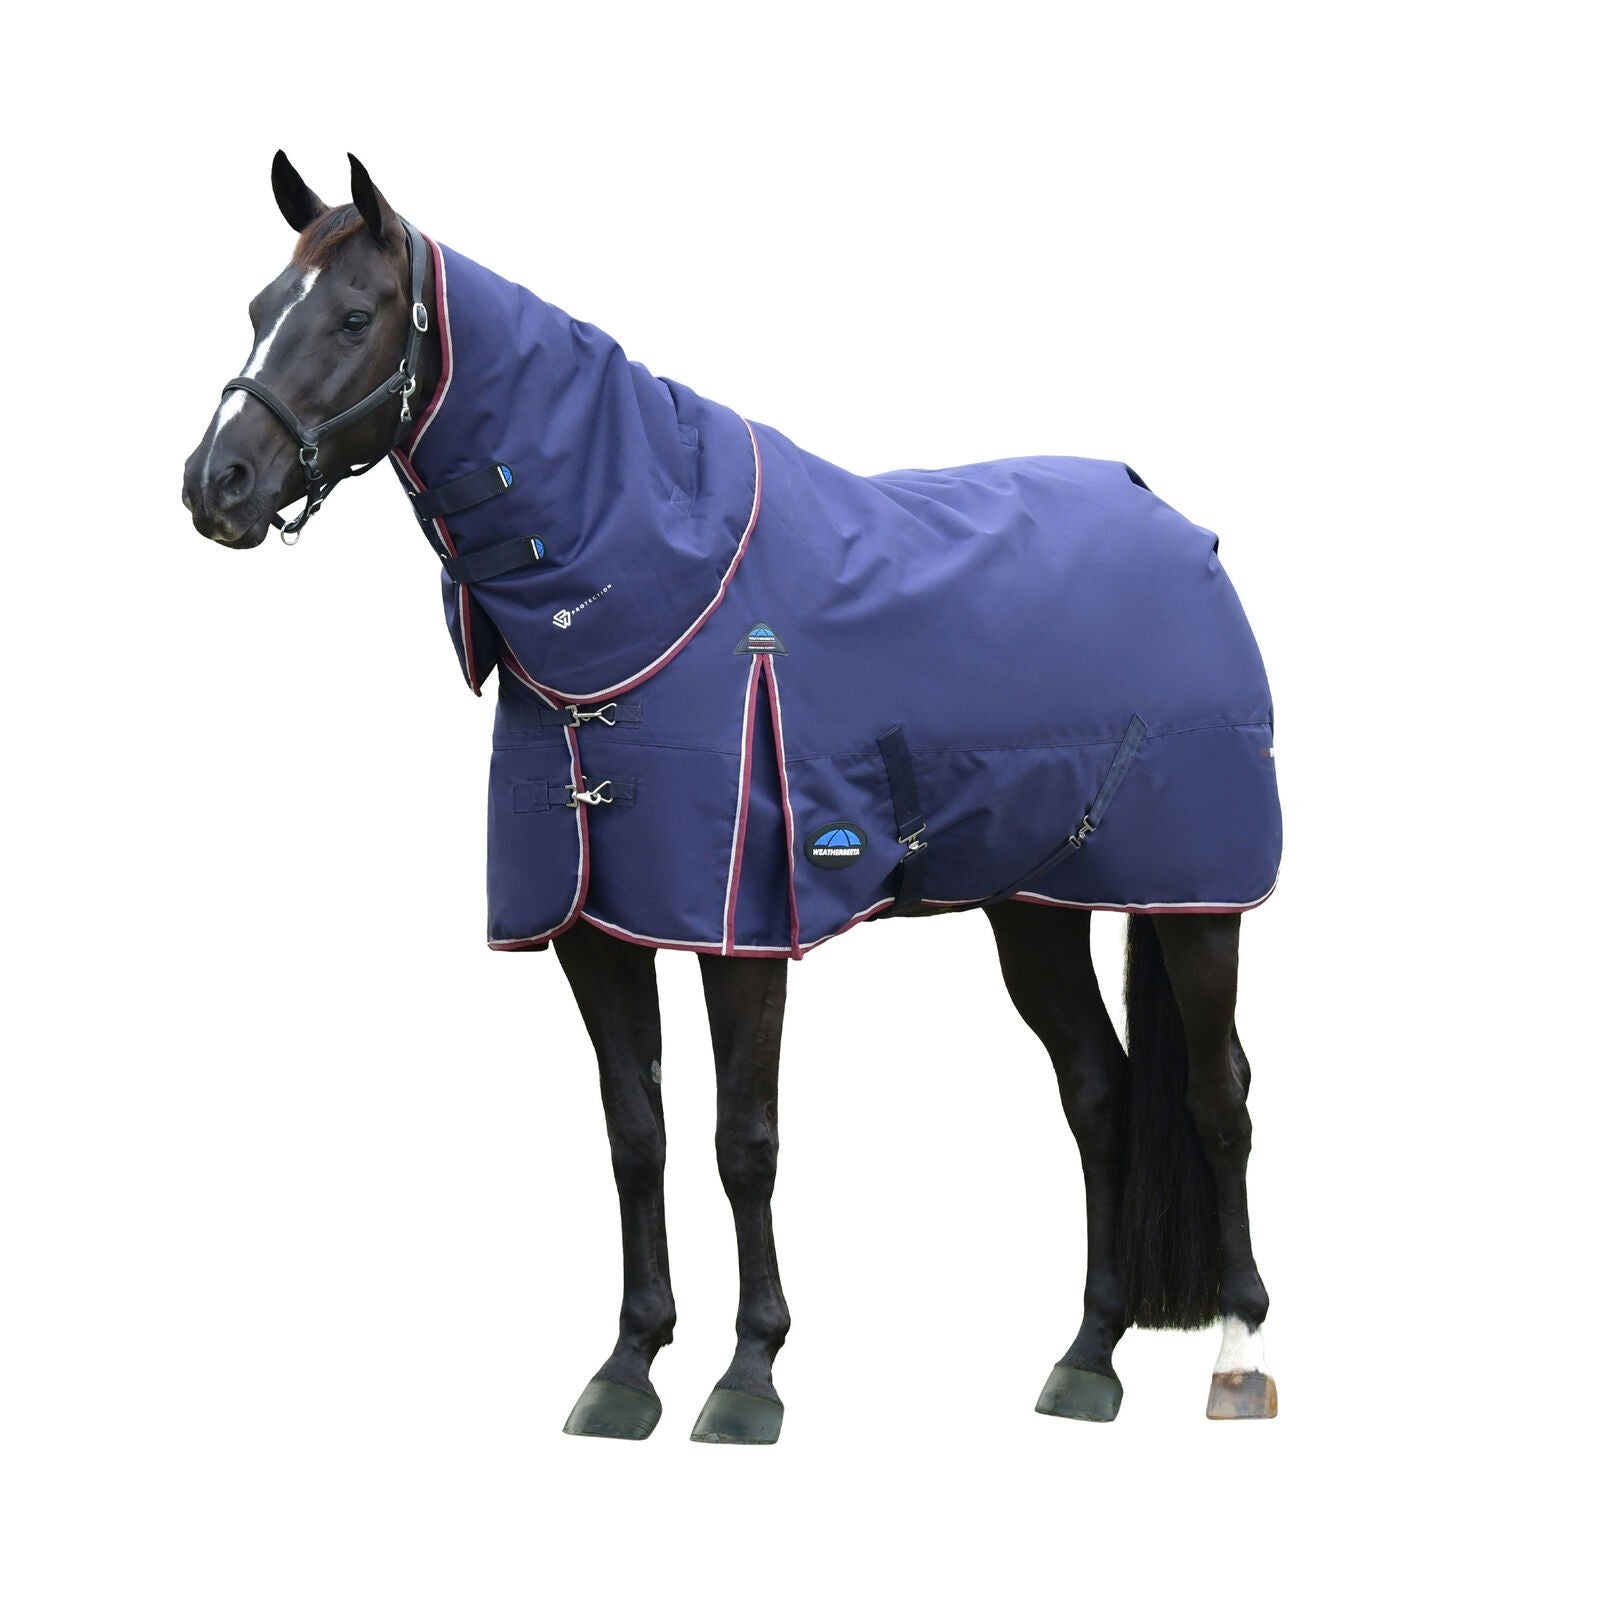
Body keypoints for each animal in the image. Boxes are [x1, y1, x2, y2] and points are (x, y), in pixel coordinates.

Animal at [182, 152, 1281, 1442]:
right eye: (261, 307)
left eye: (354, 317)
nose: (216, 483)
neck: (651, 591)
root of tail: (1178, 527)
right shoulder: (596, 927)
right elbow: (636, 1134)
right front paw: (627, 1365)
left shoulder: (739, 924)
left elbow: (741, 1140)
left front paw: (747, 1375)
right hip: (1035, 908)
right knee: (1098, 1093)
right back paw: (1087, 1358)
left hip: (1196, 903)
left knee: (1217, 1094)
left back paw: (1240, 1353)